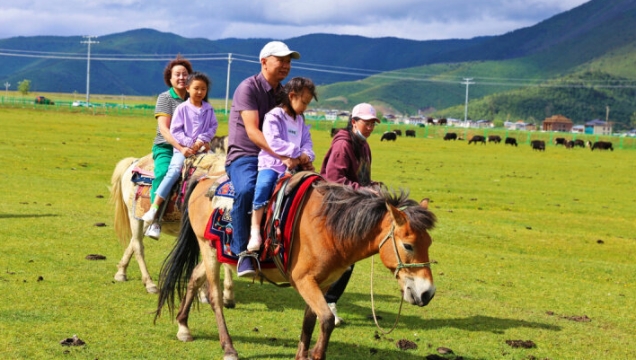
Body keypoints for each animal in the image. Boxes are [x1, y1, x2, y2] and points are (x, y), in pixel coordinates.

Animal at [154, 180, 438, 360]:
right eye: (408, 245)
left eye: (429, 243)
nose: (427, 293)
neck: (329, 228)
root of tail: (203, 181)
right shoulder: (304, 281)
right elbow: (326, 320)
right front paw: (316, 355)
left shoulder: (322, 283)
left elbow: (310, 320)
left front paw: (301, 355)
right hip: (209, 250)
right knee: (214, 297)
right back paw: (229, 348)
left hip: (212, 251)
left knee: (193, 277)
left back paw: (183, 326)